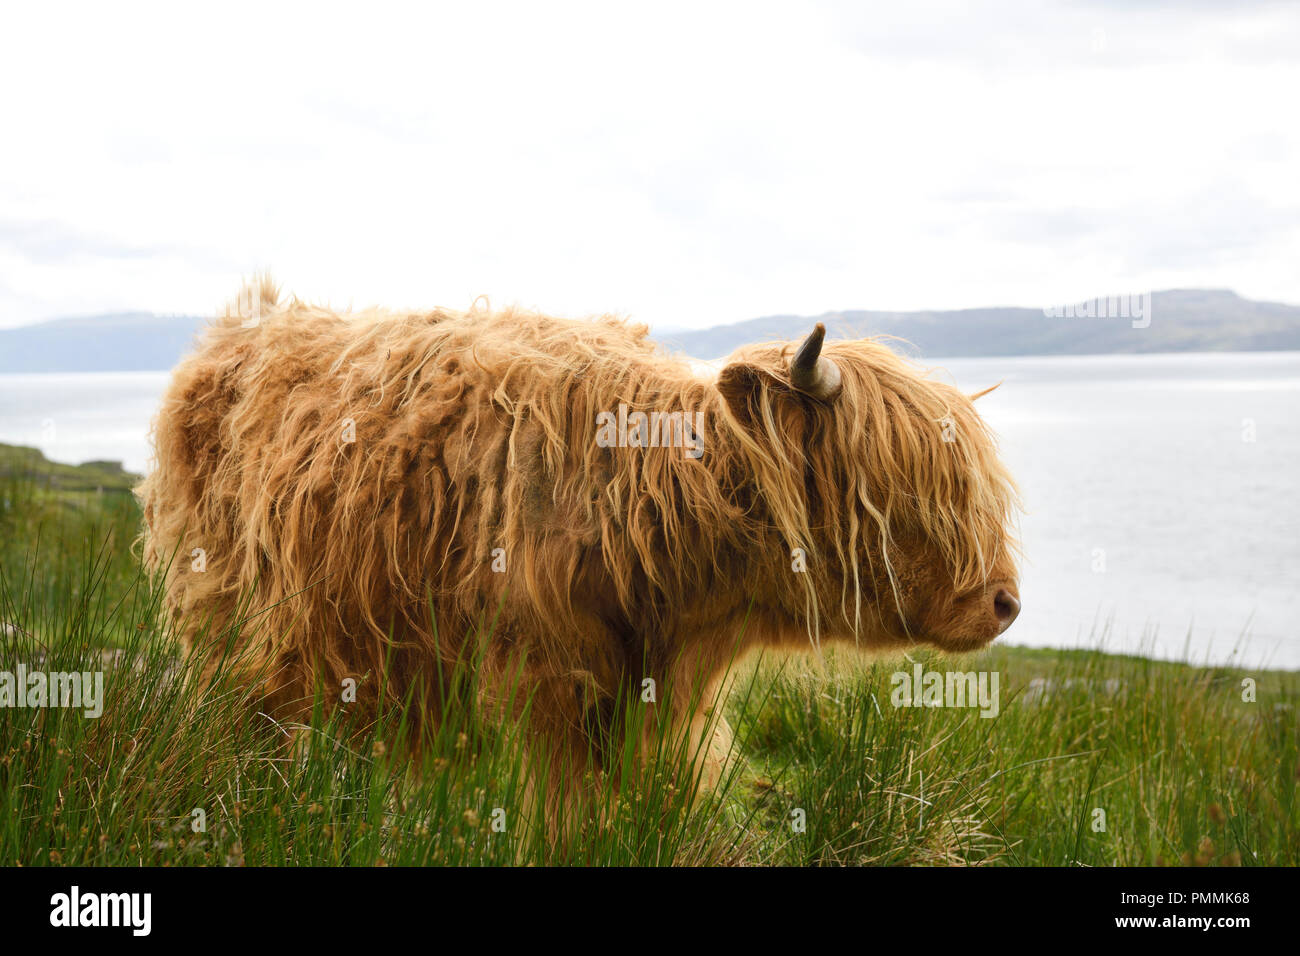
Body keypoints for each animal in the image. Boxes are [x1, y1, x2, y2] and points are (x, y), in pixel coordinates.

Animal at [137, 277, 1020, 819]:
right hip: (222, 612)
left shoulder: (661, 700)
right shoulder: (548, 681)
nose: (1004, 602)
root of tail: (241, 329)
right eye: (903, 490)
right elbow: (562, 818)